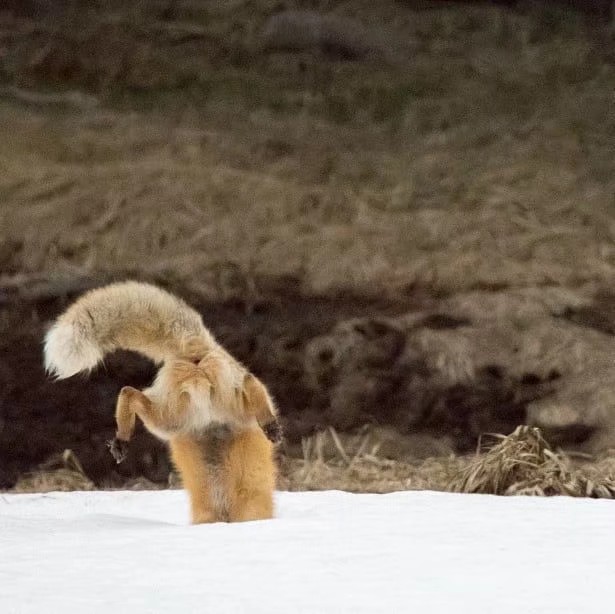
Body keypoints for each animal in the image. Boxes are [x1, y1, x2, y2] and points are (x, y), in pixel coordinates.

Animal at [43, 282, 282, 524]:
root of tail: (194, 348)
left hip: (171, 419)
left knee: (128, 392)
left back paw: (121, 439)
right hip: (223, 409)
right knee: (249, 382)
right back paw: (269, 424)